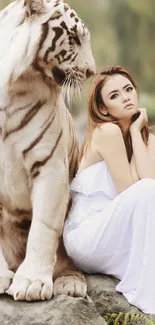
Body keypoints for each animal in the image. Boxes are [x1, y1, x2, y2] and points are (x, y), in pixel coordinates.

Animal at [0, 0, 95, 300]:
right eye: (74, 38)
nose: (92, 72)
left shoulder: (50, 167)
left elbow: (43, 229)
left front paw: (31, 283)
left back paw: (70, 283)